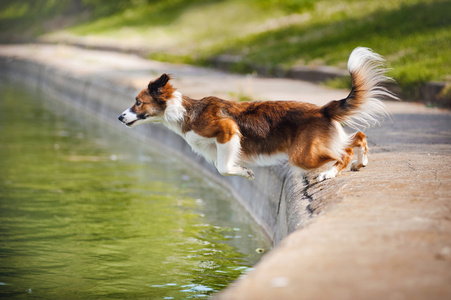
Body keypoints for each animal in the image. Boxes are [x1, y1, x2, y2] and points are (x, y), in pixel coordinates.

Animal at [119, 48, 400, 182]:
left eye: (138, 102)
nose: (120, 118)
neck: (185, 112)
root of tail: (322, 109)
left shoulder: (227, 130)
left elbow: (223, 167)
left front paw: (244, 172)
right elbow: (223, 166)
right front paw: (243, 170)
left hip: (302, 155)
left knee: (343, 153)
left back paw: (328, 173)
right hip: (321, 144)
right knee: (358, 138)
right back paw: (361, 162)